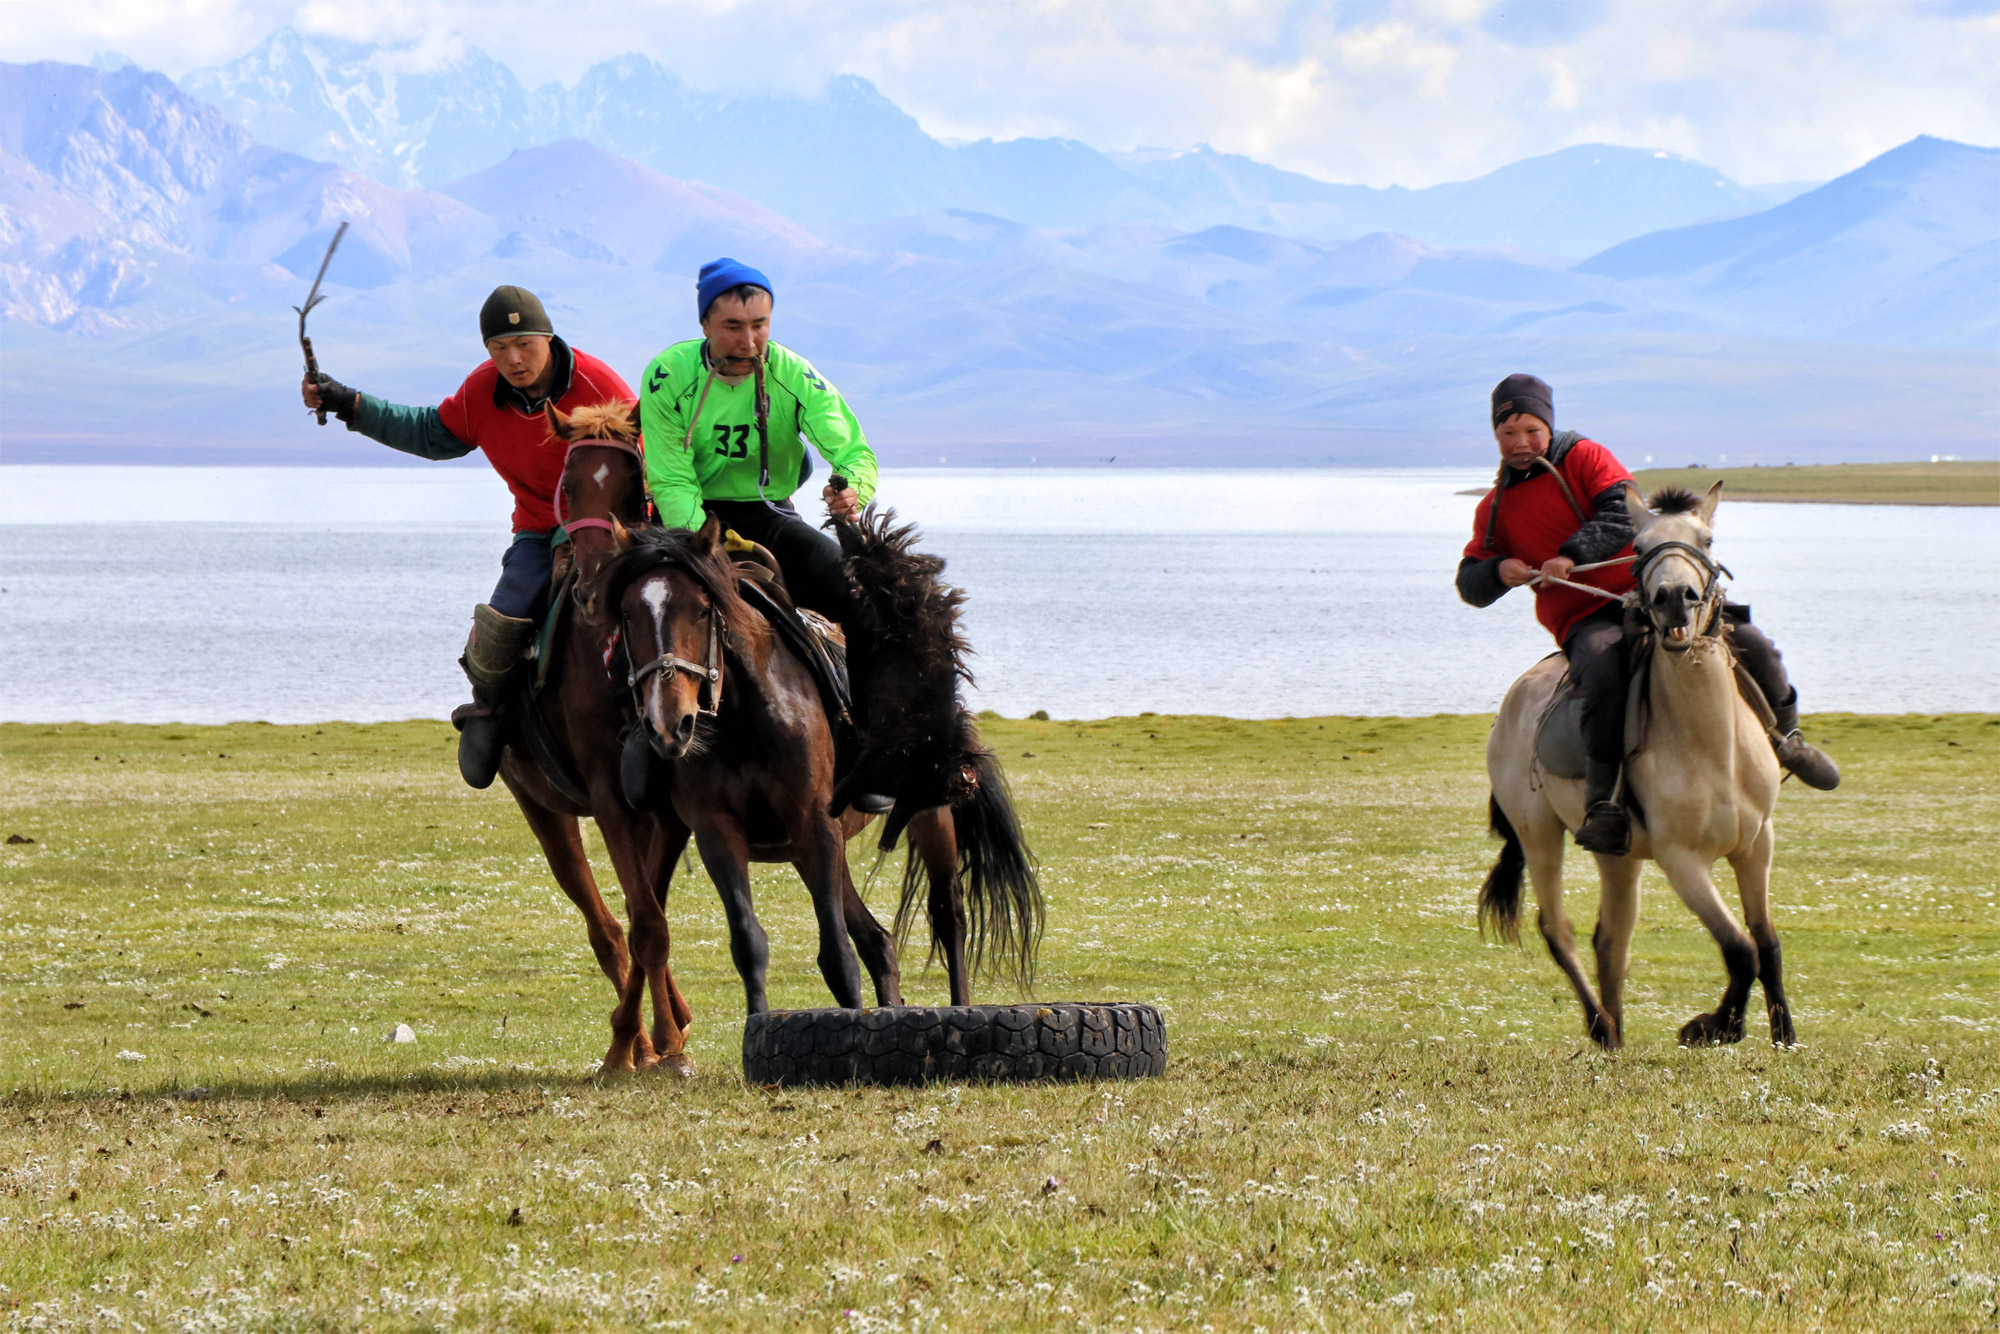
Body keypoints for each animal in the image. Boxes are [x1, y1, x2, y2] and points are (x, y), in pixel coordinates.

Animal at [596, 512, 1048, 1056]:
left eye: (703, 610)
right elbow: (749, 942)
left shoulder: (813, 821)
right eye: (626, 615)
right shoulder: (716, 830)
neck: (746, 716)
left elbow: (836, 954)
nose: (670, 723)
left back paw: (959, 1010)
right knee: (877, 939)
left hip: (926, 814)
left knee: (947, 914)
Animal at [1472, 482, 1800, 1056]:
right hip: (1539, 836)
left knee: (1611, 939)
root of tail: (1512, 702)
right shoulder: (1682, 861)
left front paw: (1784, 1036)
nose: (1674, 597)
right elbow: (1740, 949)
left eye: (1706, 539)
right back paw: (1603, 1028)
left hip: (1617, 856)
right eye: (1641, 546)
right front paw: (1713, 1027)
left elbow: (1767, 942)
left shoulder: (1756, 844)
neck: (1712, 745)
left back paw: (1617, 1036)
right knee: (1558, 929)